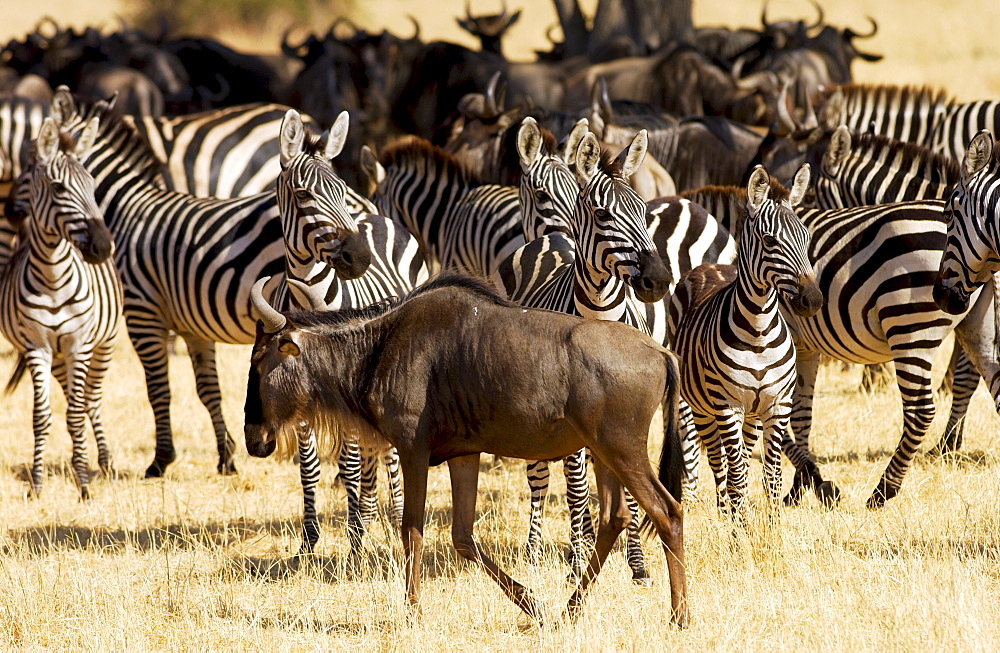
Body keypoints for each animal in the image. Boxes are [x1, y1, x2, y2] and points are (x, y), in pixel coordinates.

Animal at [0, 114, 123, 496]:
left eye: (93, 185)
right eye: (58, 189)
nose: (103, 247)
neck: (53, 279)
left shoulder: (78, 345)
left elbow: (77, 415)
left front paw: (83, 485)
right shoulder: (36, 347)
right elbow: (42, 417)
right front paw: (37, 484)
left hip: (104, 344)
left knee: (90, 401)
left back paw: (103, 462)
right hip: (56, 358)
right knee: (74, 398)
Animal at [268, 109, 428, 556]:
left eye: (341, 192)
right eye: (303, 195)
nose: (360, 258)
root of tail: (376, 216)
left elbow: (352, 462)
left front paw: (356, 539)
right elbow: (309, 465)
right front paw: (309, 541)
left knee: (385, 451)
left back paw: (389, 515)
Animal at [668, 164, 824, 520]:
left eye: (806, 238)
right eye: (770, 240)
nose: (813, 300)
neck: (759, 334)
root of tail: (709, 265)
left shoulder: (777, 406)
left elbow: (772, 475)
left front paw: (772, 525)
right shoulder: (728, 406)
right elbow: (736, 473)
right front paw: (740, 527)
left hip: (752, 415)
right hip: (702, 408)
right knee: (719, 463)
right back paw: (725, 511)